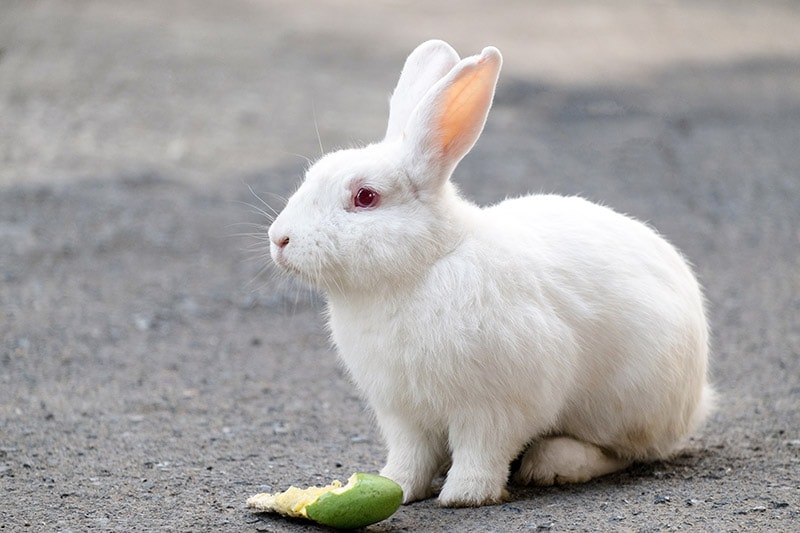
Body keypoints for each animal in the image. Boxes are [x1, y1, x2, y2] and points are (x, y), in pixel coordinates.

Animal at [267, 39, 714, 508]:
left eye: (365, 197)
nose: (279, 239)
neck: (423, 266)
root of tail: (697, 398)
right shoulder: (403, 413)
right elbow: (410, 456)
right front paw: (399, 487)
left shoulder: (495, 406)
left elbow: (482, 450)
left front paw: (464, 495)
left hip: (628, 400)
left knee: (624, 452)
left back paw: (553, 464)